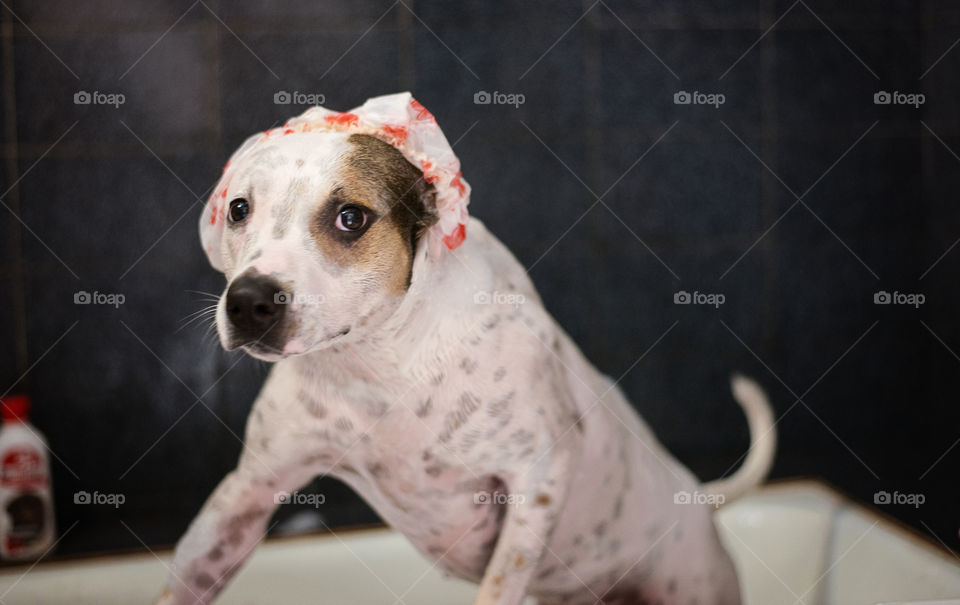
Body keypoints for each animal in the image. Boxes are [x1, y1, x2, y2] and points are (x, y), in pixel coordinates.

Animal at [158, 92, 772, 600]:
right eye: (238, 209)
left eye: (351, 217)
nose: (248, 302)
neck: (381, 365)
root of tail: (697, 497)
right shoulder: (249, 492)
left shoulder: (535, 482)